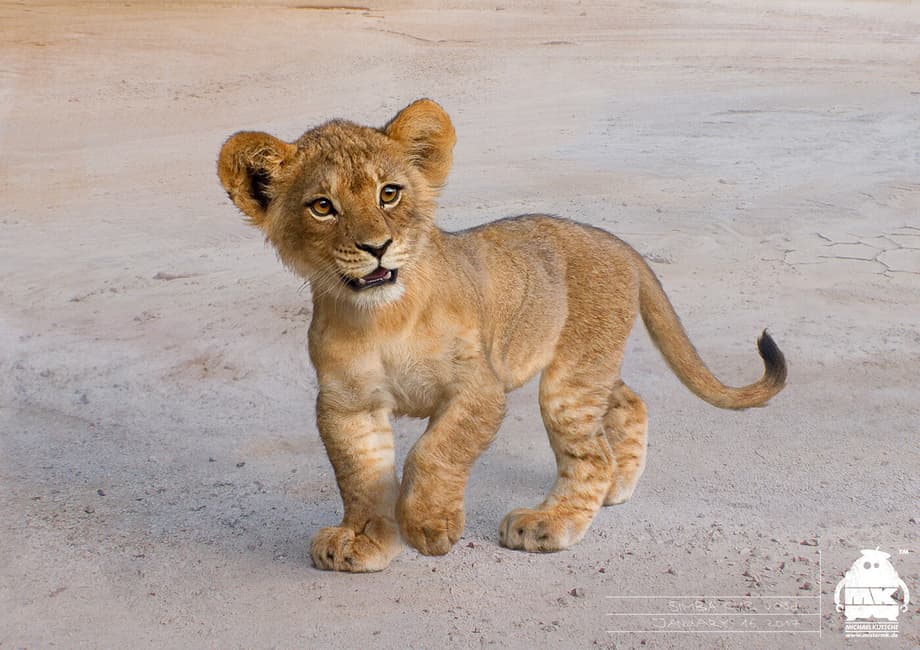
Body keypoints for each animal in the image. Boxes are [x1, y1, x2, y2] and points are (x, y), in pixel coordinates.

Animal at [217, 99, 786, 572]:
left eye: (389, 193)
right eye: (322, 206)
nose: (376, 247)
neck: (381, 318)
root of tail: (616, 242)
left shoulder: (479, 387)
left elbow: (434, 451)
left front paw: (429, 527)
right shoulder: (345, 404)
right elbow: (360, 476)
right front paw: (364, 540)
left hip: (570, 379)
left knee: (591, 454)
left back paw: (550, 523)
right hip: (587, 366)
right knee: (628, 400)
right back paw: (618, 486)